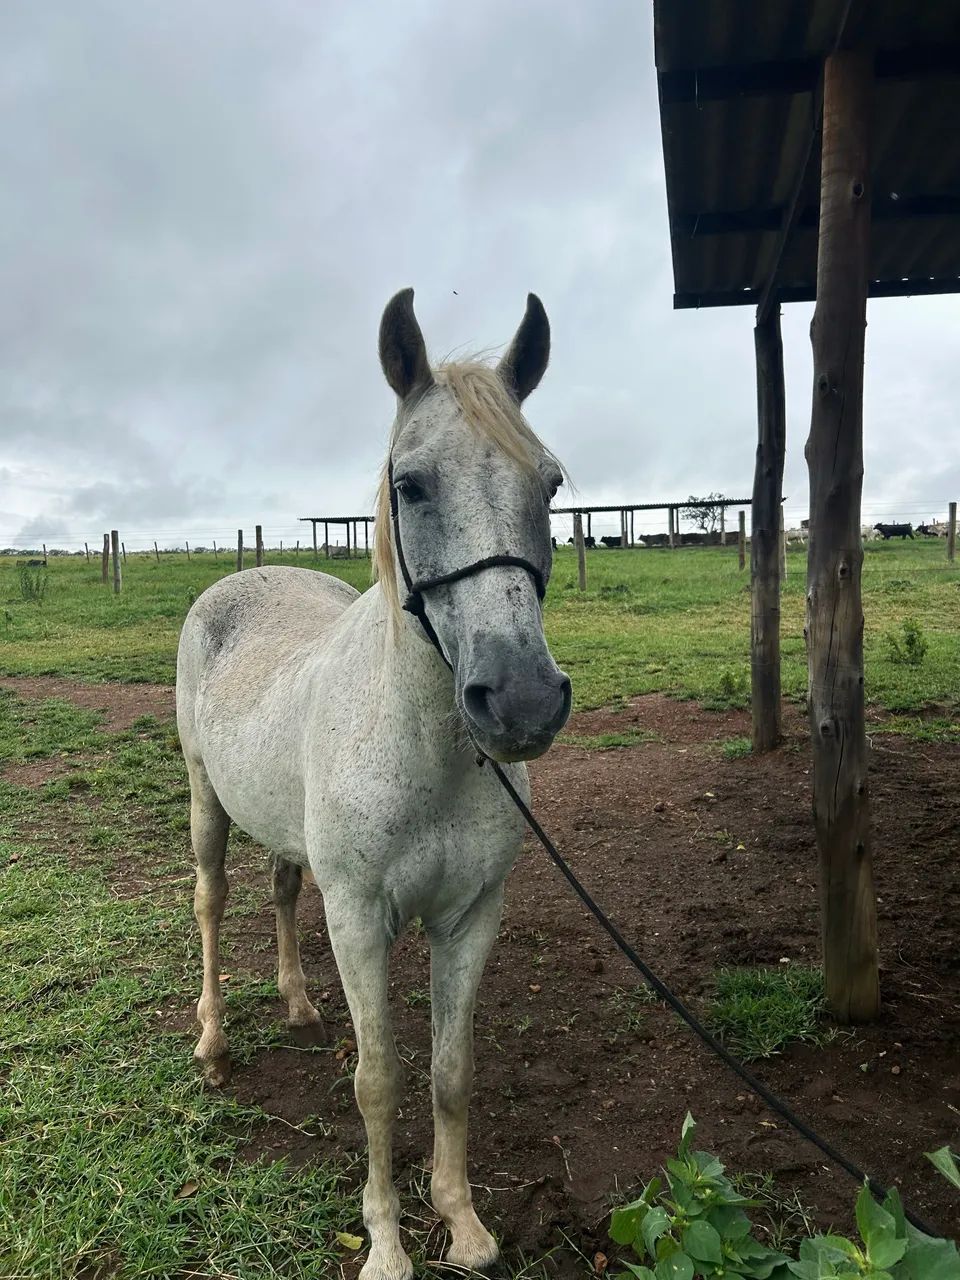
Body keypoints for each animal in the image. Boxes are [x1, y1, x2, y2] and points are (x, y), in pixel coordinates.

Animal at [176, 288, 571, 1280]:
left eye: (549, 485)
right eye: (413, 485)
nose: (520, 698)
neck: (428, 753)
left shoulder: (470, 915)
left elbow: (449, 1070)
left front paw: (462, 1221)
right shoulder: (358, 917)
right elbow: (380, 1079)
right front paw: (387, 1244)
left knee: (281, 890)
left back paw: (296, 1005)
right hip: (205, 802)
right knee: (211, 901)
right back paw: (213, 1045)